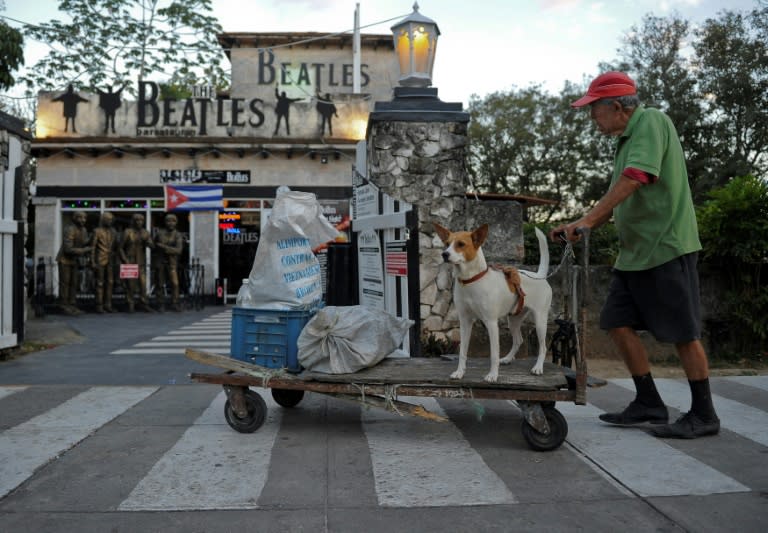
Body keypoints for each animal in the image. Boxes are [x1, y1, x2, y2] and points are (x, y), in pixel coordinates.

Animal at [432, 222, 552, 380]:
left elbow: (494, 354)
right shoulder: (465, 321)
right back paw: (507, 359)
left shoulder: (491, 322)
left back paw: (538, 367)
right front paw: (460, 372)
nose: (444, 254)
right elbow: (462, 351)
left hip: (540, 322)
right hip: (513, 320)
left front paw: (493, 375)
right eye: (446, 244)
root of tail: (539, 275)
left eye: (461, 244)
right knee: (519, 340)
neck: (471, 281)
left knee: (543, 347)